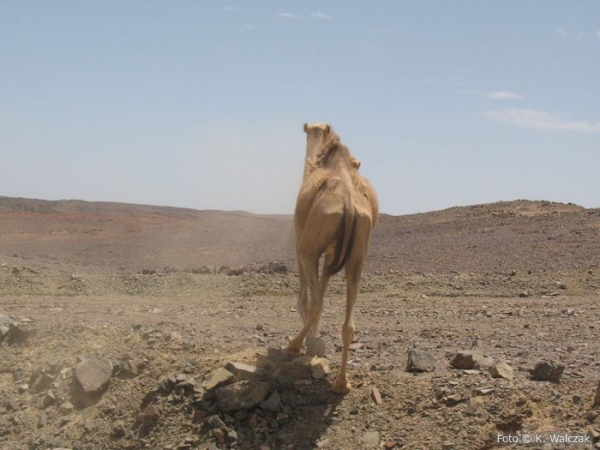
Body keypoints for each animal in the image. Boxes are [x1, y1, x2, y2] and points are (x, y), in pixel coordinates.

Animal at [288, 123, 380, 394]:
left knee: (316, 303)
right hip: (358, 255)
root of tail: (348, 202)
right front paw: (316, 343)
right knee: (348, 324)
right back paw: (342, 383)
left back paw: (293, 345)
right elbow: (322, 286)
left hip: (308, 247)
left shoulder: (301, 242)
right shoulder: (331, 253)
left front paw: (313, 344)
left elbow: (306, 298)